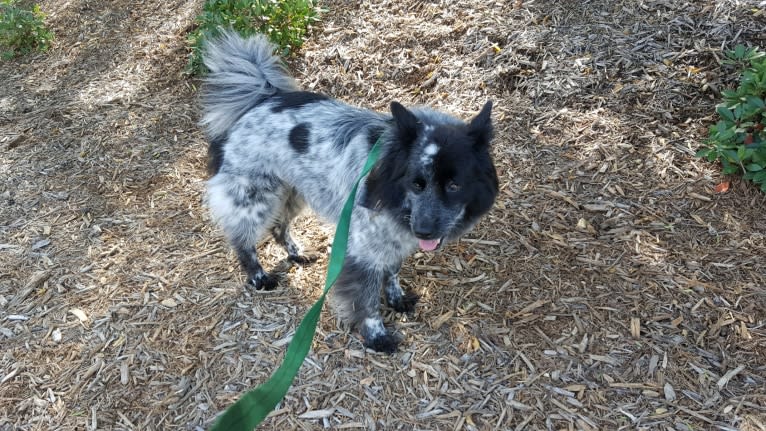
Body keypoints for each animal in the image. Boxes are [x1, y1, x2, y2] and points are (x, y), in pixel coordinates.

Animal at [201, 31, 500, 354]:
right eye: (416, 183)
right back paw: (258, 277)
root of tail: (263, 98)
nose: (423, 231)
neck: (391, 188)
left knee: (279, 228)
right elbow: (366, 300)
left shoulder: (392, 239)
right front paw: (377, 337)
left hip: (295, 192)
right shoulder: (362, 250)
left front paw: (396, 299)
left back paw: (297, 254)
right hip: (255, 197)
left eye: (455, 185)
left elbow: (392, 272)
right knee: (242, 239)